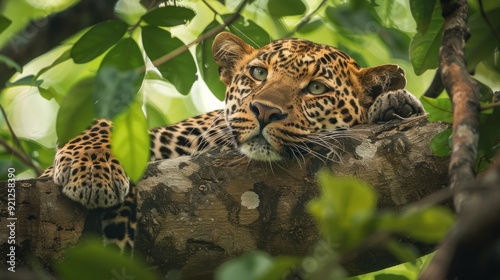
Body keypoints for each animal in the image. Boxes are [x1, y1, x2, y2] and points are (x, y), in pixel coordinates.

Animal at [40, 31, 426, 250]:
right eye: (257, 73)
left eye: (317, 88)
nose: (264, 110)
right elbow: (102, 126)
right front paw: (94, 173)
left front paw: (395, 105)